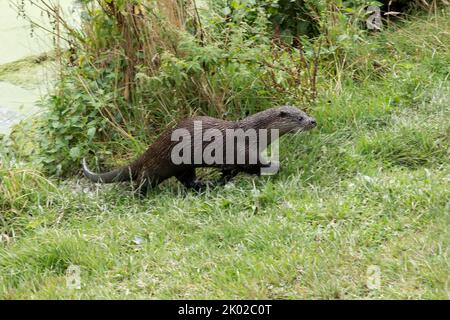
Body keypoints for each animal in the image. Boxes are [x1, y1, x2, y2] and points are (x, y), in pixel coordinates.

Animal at [82, 106, 314, 194]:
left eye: (304, 112)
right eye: (299, 117)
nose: (313, 121)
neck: (253, 133)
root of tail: (149, 150)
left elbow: (230, 171)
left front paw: (220, 181)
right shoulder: (242, 151)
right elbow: (254, 165)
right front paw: (276, 167)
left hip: (183, 165)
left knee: (187, 179)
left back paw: (204, 186)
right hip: (158, 166)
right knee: (144, 180)